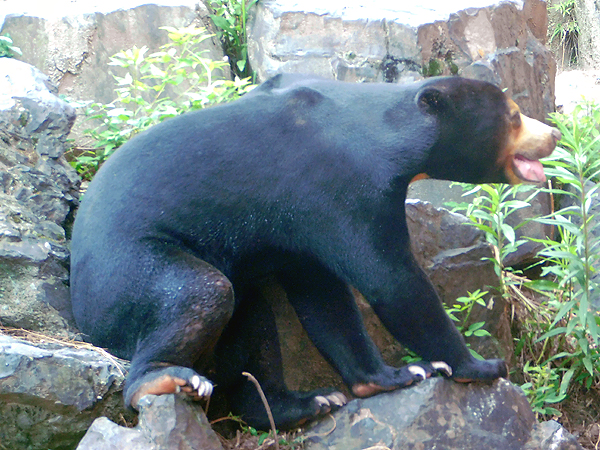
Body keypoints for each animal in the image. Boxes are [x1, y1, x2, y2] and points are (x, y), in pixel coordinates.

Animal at [71, 75, 564, 430]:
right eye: (515, 116)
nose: (554, 134)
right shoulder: (341, 187)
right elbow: (390, 280)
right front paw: (472, 365)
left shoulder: (298, 227)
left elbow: (323, 296)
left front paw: (383, 378)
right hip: (126, 270)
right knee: (201, 292)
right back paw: (165, 378)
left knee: (251, 319)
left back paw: (304, 403)